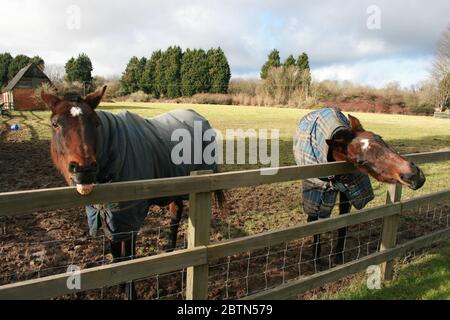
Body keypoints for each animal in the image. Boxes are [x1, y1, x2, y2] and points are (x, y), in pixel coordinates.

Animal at [294, 107, 424, 262]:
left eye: (379, 137)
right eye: (360, 162)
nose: (414, 176)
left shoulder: (348, 192)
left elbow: (344, 221)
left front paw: (338, 257)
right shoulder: (316, 193)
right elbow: (315, 222)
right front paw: (316, 257)